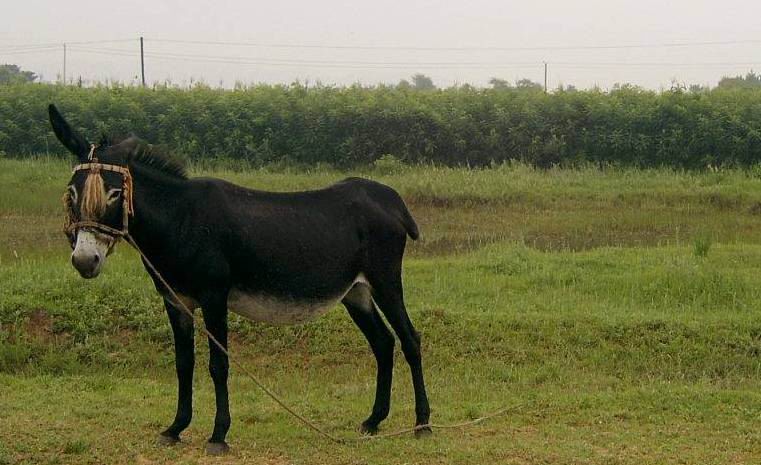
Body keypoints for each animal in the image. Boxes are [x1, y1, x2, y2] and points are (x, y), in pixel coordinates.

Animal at [48, 104, 431, 454]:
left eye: (114, 193)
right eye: (71, 192)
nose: (84, 261)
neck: (180, 219)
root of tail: (388, 197)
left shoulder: (214, 296)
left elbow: (218, 365)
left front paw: (218, 436)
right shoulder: (176, 300)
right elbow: (183, 363)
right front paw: (175, 428)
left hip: (385, 281)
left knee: (409, 339)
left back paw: (422, 423)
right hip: (356, 292)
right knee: (383, 342)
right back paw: (374, 421)